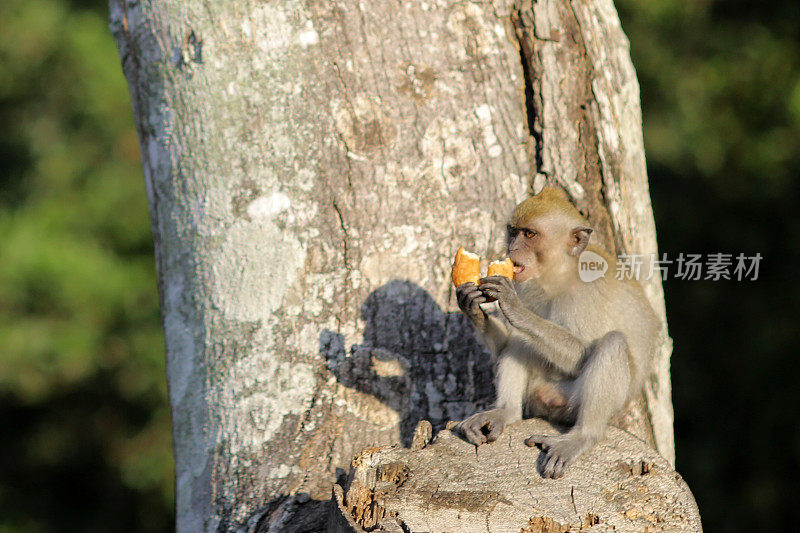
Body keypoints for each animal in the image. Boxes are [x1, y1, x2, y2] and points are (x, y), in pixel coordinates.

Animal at [454, 186, 660, 478]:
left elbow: (580, 357)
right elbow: (510, 341)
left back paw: (583, 436)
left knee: (612, 343)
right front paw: (472, 307)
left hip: (570, 402)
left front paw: (514, 308)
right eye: (513, 231)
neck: (559, 274)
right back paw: (506, 412)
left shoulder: (586, 294)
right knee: (521, 342)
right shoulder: (527, 285)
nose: (511, 248)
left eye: (529, 234)